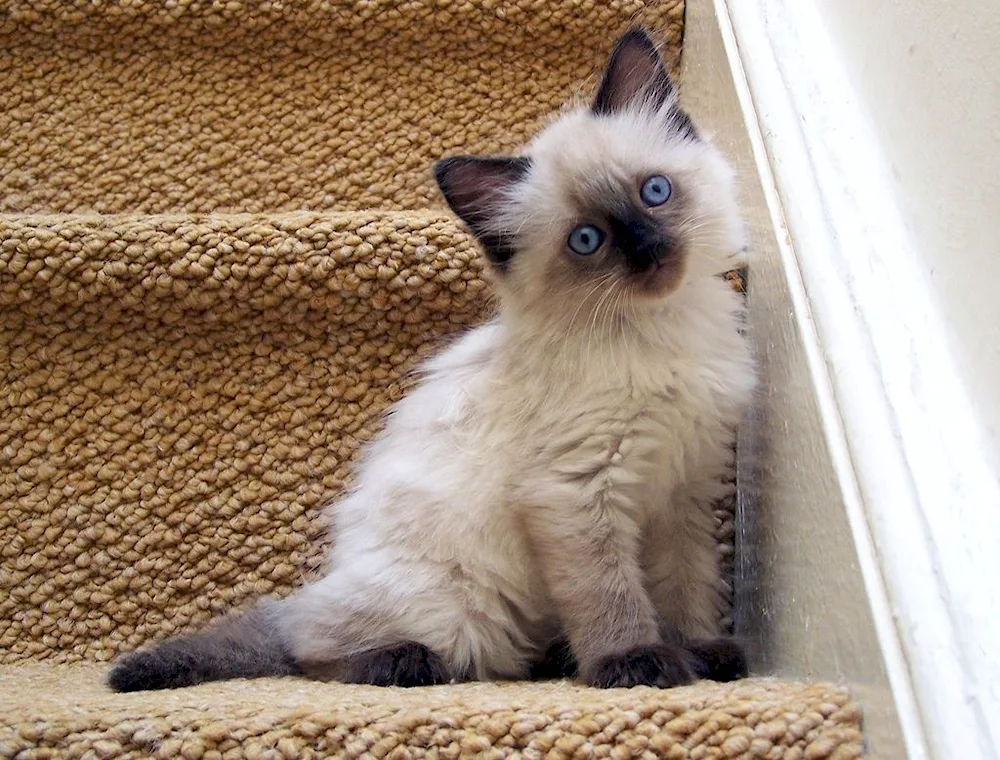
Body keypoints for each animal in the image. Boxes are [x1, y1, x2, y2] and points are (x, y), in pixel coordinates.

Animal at [105, 28, 752, 696]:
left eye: (655, 192)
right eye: (586, 241)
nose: (649, 252)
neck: (663, 332)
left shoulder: (683, 489)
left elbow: (685, 587)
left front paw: (699, 653)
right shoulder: (574, 492)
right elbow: (610, 596)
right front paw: (635, 665)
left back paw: (552, 657)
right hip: (454, 604)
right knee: (312, 648)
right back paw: (406, 663)